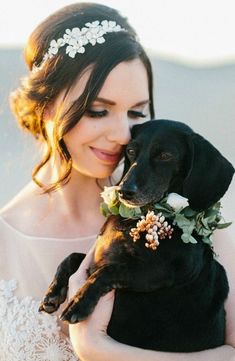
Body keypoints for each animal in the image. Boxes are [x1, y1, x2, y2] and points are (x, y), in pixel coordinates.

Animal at [39, 119, 234, 350]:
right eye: (131, 151)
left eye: (165, 155)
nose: (124, 191)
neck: (137, 219)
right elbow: (72, 257)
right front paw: (53, 292)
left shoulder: (156, 272)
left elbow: (107, 270)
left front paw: (79, 302)